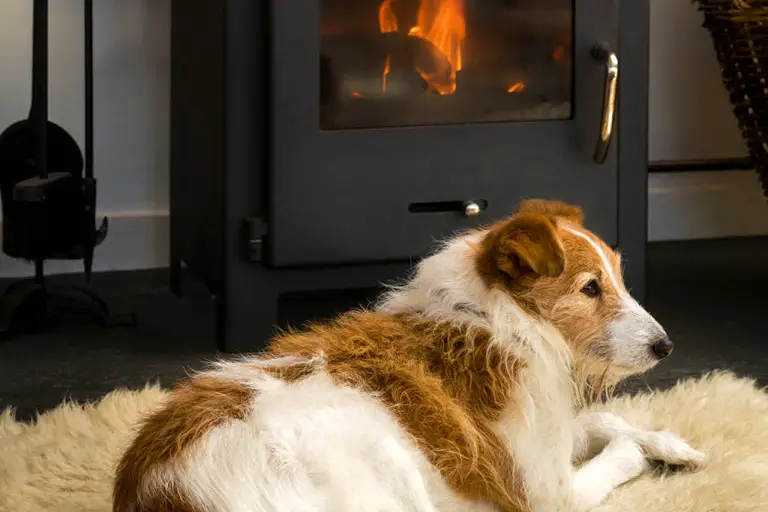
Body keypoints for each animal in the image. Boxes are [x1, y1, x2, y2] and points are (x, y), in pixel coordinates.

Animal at [111, 200, 704, 512]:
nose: (666, 345)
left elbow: (602, 419)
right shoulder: (547, 492)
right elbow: (616, 450)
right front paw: (642, 451)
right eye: (589, 289)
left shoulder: (538, 438)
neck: (502, 321)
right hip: (385, 465)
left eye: (620, 279)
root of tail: (169, 489)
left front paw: (673, 444)